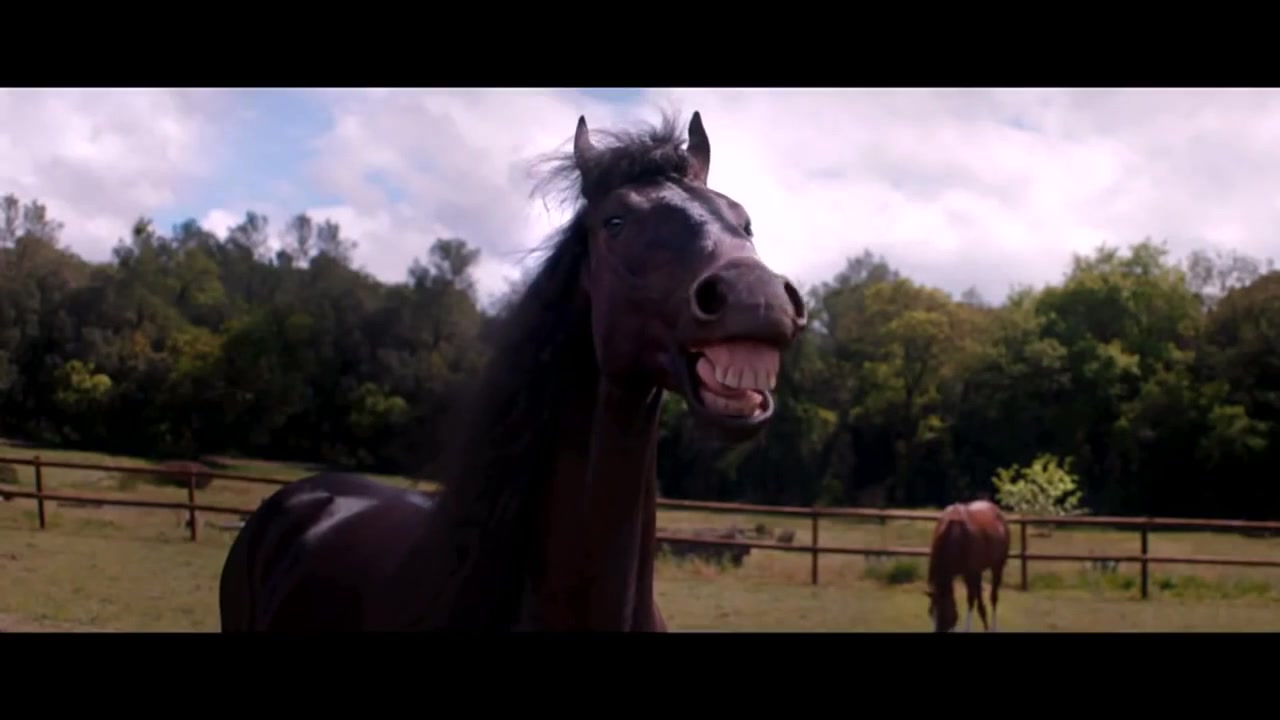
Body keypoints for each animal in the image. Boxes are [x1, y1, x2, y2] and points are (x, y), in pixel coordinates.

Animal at [924, 499, 1010, 633]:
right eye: (930, 613)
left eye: (944, 615)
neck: (955, 535)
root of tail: (997, 511)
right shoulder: (969, 573)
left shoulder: (969, 572)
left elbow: (970, 599)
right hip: (979, 571)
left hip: (997, 566)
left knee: (994, 597)